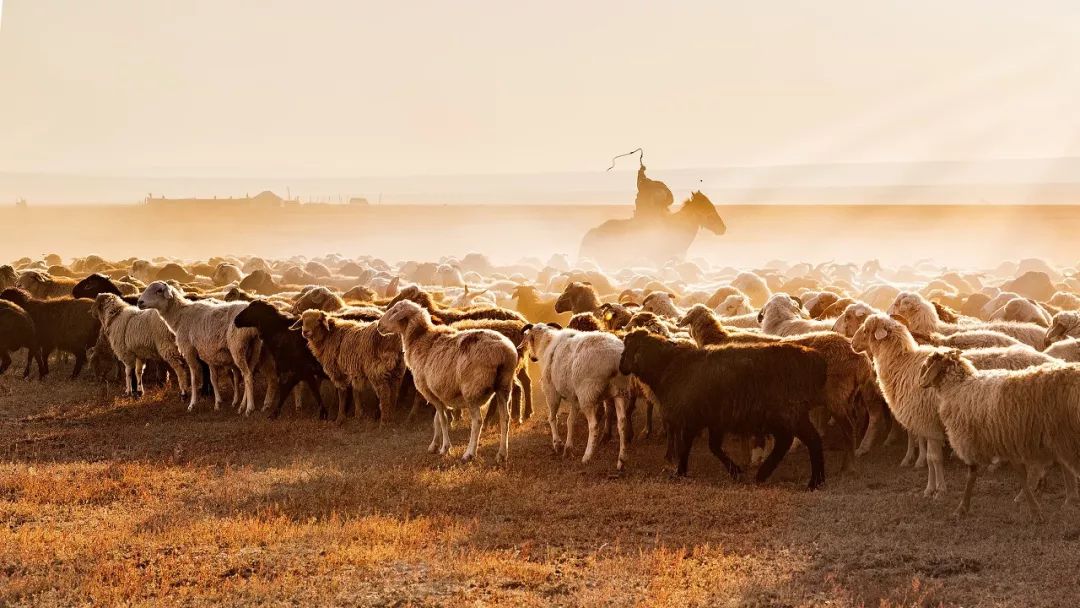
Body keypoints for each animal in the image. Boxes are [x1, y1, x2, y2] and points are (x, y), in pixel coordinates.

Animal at [617, 328, 825, 490]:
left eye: (628, 347)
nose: (621, 367)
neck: (669, 367)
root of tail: (814, 358)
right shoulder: (714, 419)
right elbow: (714, 447)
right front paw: (735, 471)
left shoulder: (691, 418)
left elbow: (686, 447)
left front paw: (680, 471)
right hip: (788, 414)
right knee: (793, 441)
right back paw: (773, 475)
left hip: (788, 412)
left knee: (806, 441)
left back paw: (811, 482)